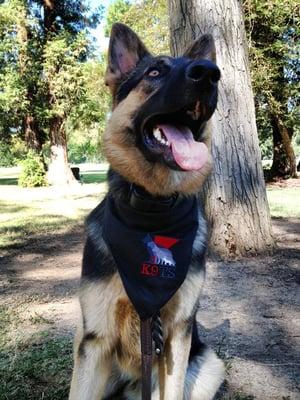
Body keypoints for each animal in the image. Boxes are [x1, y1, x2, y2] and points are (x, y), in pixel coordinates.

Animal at [69, 22, 224, 400]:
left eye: (211, 73)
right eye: (154, 72)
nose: (209, 74)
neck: (153, 206)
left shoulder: (177, 336)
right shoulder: (93, 340)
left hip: (210, 364)